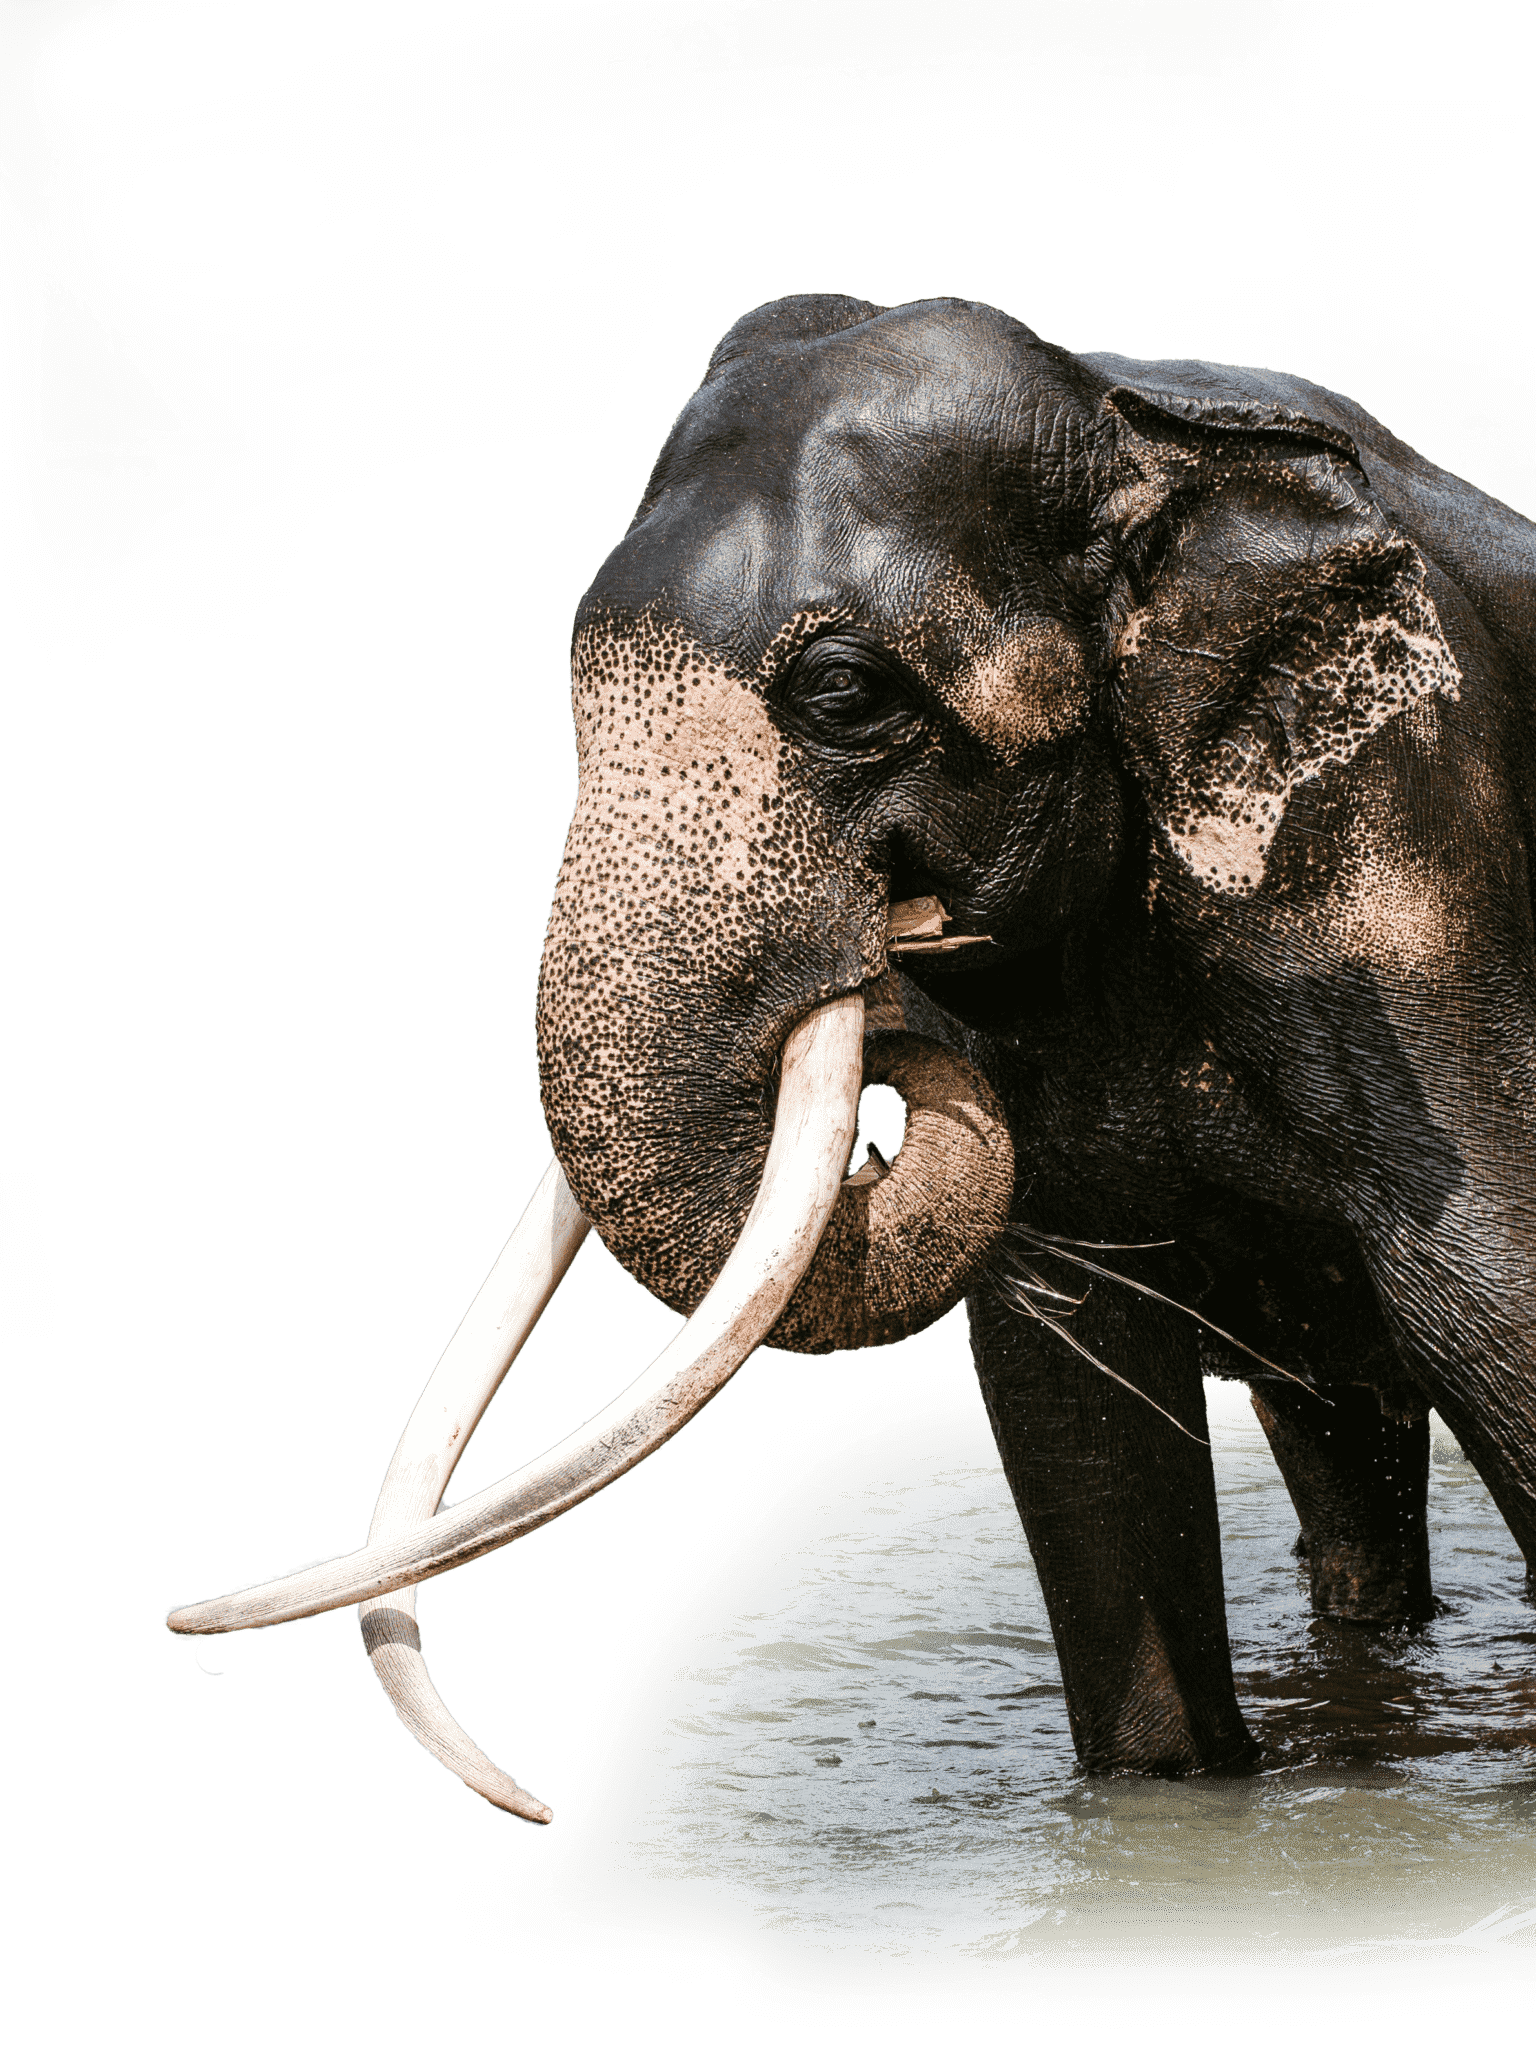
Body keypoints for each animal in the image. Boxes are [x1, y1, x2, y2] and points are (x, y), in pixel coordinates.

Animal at [169, 294, 1536, 1820]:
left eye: (839, 690)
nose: (878, 1031)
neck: (1131, 428)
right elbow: (1071, 1389)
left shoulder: (1409, 854)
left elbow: (1486, 1303)